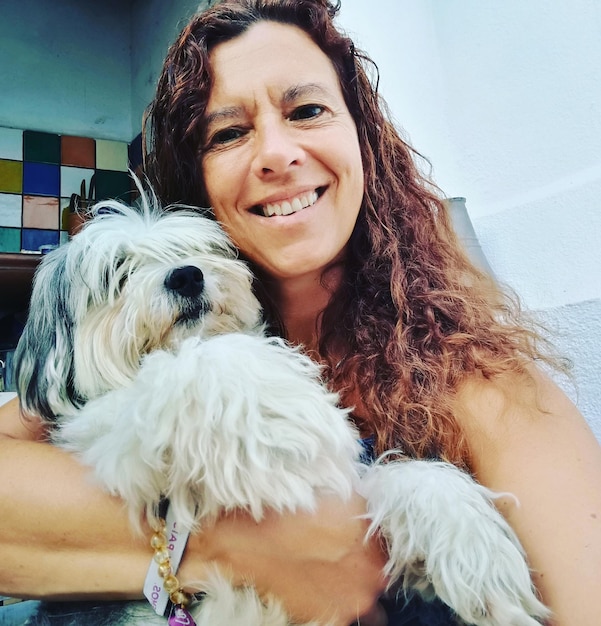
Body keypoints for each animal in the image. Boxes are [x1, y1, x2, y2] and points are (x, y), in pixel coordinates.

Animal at [12, 190, 548, 624]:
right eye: (117, 273)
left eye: (197, 251)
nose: (187, 276)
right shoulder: (107, 438)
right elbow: (201, 364)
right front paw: (282, 409)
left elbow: (395, 475)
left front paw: (467, 536)